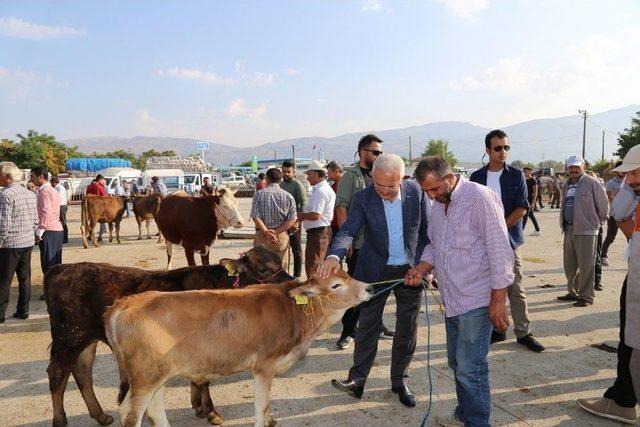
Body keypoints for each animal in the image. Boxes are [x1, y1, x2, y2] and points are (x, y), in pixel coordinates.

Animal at [43, 247, 294, 427]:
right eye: (264, 268)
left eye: (281, 263)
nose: (292, 281)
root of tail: (61, 268)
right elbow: (204, 379)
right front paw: (210, 411)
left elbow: (200, 378)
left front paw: (200, 407)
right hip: (69, 336)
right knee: (58, 373)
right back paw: (60, 420)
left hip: (86, 338)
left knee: (82, 371)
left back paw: (101, 415)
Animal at [106, 270, 370, 427]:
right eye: (336, 285)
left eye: (349, 273)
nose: (369, 287)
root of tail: (125, 303)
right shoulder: (264, 366)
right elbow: (261, 405)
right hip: (144, 379)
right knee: (130, 413)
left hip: (157, 374)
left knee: (154, 409)